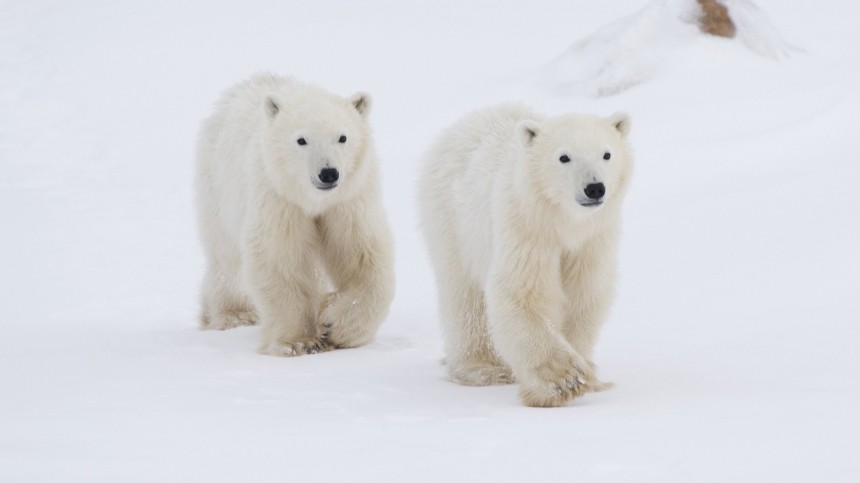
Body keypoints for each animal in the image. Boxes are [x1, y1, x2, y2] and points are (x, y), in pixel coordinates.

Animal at [195, 73, 394, 358]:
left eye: (342, 137)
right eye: (301, 140)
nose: (328, 173)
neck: (312, 200)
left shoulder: (348, 201)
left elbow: (361, 256)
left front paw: (336, 327)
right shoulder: (278, 197)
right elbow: (280, 258)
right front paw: (299, 341)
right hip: (218, 185)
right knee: (227, 258)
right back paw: (234, 314)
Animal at [418, 104, 632, 406]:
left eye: (607, 154)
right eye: (564, 157)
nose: (594, 188)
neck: (563, 221)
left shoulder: (592, 241)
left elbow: (584, 295)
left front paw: (584, 373)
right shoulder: (526, 227)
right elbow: (521, 292)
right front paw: (563, 379)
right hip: (452, 220)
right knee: (464, 294)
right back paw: (482, 369)